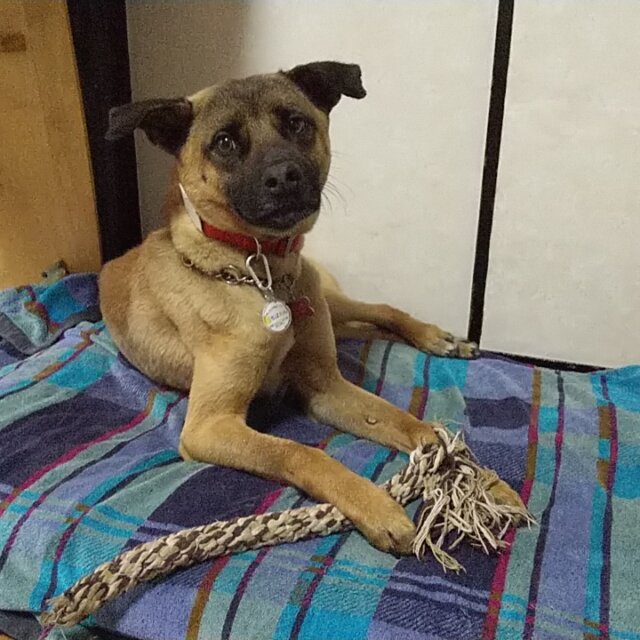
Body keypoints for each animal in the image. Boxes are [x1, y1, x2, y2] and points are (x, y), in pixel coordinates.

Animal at [101, 61, 523, 554]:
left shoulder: (326, 385)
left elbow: (417, 427)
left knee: (379, 309)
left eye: (296, 123)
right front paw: (375, 505)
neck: (261, 275)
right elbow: (299, 452)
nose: (284, 177)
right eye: (224, 142)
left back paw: (436, 337)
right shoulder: (209, 425)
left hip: (325, 295)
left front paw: (482, 478)